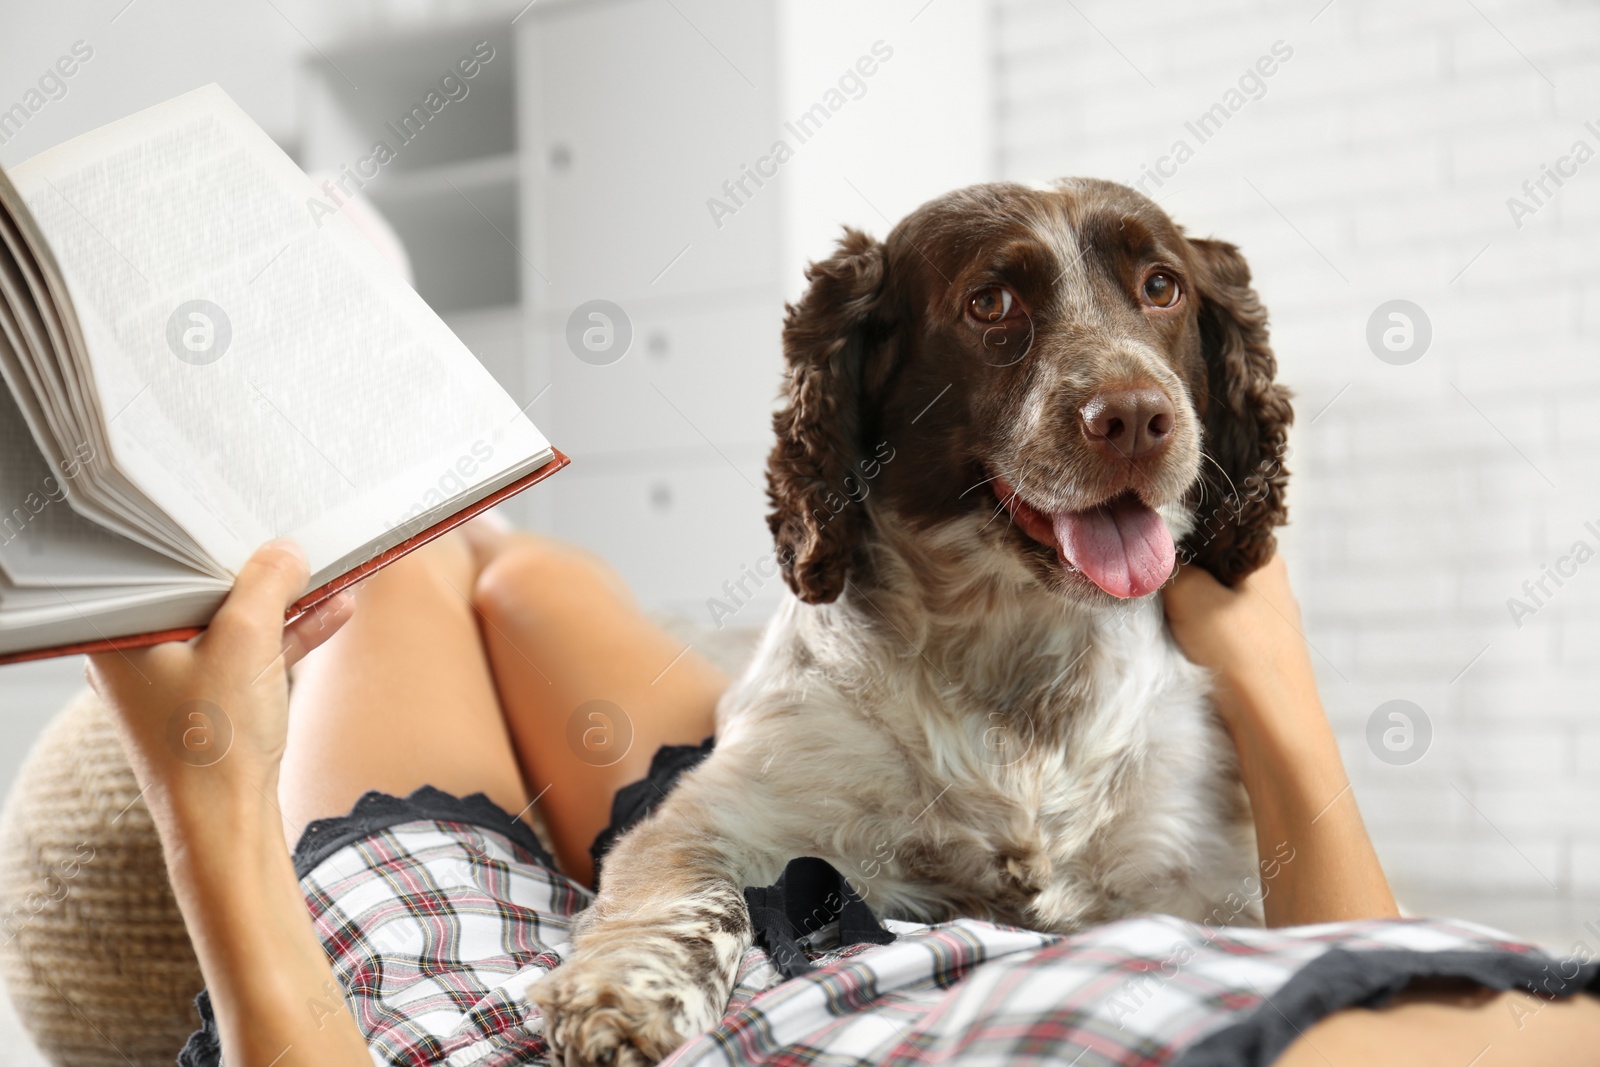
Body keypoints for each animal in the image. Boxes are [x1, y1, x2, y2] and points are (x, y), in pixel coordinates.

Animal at [537, 179, 1299, 1062]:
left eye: (1162, 286)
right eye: (990, 302)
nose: (1138, 419)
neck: (1019, 654)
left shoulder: (1204, 881)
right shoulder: (716, 818)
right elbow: (693, 897)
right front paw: (628, 996)